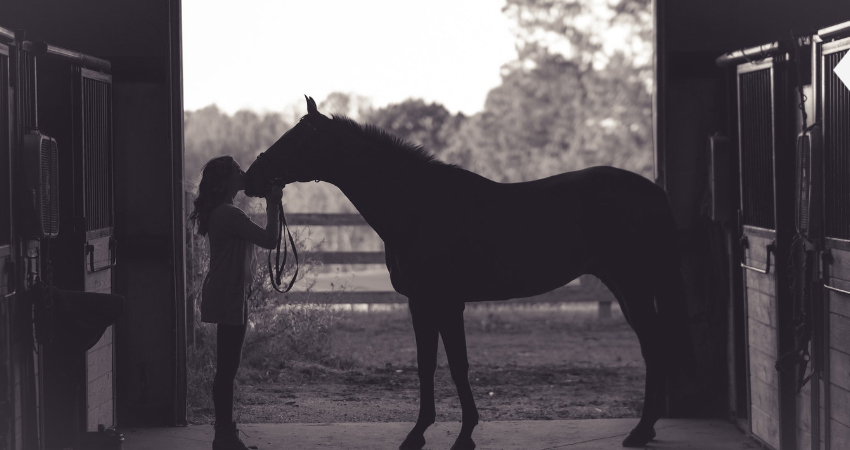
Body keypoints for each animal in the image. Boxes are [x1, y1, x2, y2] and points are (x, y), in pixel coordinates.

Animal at [242, 96, 692, 448]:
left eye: (296, 139)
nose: (251, 178)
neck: (418, 206)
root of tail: (652, 190)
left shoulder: (447, 301)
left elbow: (458, 364)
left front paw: (464, 435)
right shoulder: (420, 303)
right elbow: (426, 364)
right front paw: (417, 434)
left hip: (633, 285)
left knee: (654, 346)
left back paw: (640, 431)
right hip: (624, 286)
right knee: (653, 346)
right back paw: (646, 429)